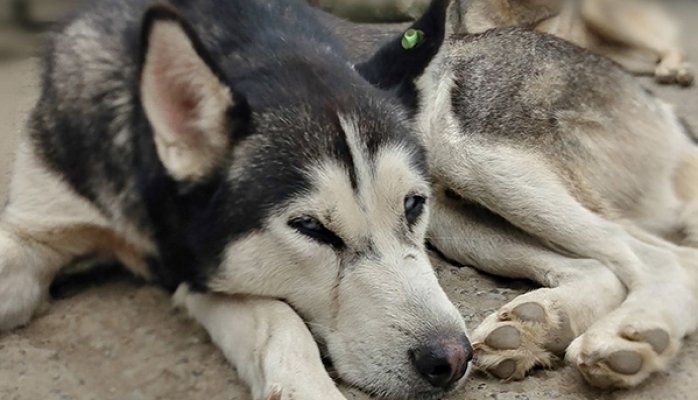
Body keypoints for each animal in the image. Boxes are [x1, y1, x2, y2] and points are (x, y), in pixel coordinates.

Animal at [1, 0, 474, 400]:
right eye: (311, 228)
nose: (451, 358)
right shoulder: (41, 227)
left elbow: (278, 318)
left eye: (413, 204)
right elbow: (278, 318)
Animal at [358, 0, 696, 390]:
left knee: (668, 259)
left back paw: (628, 334)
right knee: (603, 269)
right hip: (449, 218)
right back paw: (538, 324)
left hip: (477, 160)